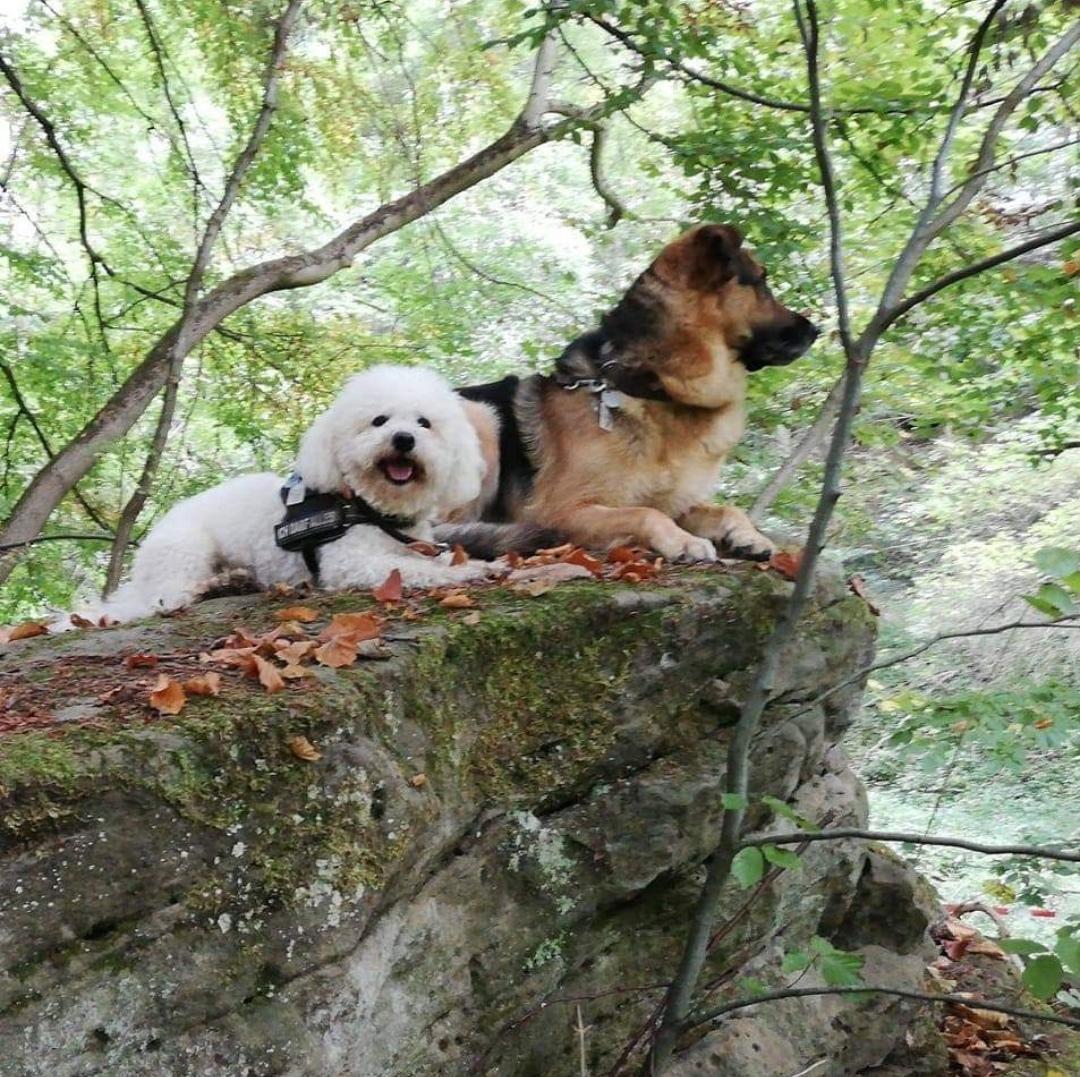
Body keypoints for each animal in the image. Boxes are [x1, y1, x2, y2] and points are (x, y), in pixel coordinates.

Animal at [80, 365, 490, 625]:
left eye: (424, 423)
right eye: (379, 421)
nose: (403, 439)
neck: (367, 506)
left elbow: (435, 558)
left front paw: (480, 564)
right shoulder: (350, 563)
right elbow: (415, 569)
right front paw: (470, 571)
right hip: (187, 547)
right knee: (166, 597)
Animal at [440, 223, 819, 562]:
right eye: (761, 280)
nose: (815, 331)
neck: (656, 388)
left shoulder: (676, 501)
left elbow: (725, 509)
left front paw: (748, 536)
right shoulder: (562, 509)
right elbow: (643, 513)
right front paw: (683, 541)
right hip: (482, 416)